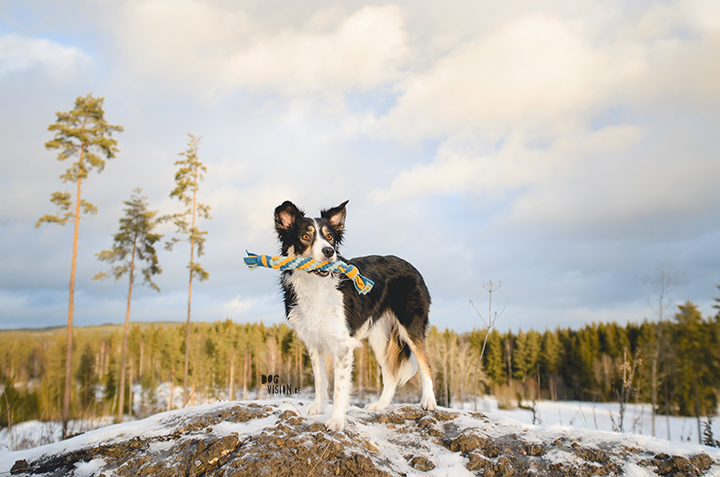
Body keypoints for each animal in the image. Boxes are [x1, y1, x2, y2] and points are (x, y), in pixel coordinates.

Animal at [272, 199, 436, 430]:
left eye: (330, 237)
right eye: (305, 236)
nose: (328, 251)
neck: (315, 284)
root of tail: (411, 265)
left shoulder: (342, 343)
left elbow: (340, 386)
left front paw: (335, 420)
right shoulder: (313, 341)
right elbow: (320, 379)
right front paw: (319, 408)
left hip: (410, 326)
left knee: (425, 364)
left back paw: (429, 402)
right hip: (380, 337)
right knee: (390, 373)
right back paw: (380, 405)